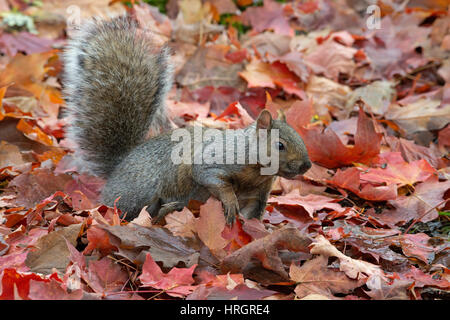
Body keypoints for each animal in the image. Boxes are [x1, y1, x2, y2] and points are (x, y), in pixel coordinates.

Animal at [63, 16, 312, 224]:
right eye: (280, 145)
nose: (307, 165)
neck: (257, 172)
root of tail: (118, 168)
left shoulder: (257, 195)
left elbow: (252, 215)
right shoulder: (215, 160)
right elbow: (211, 177)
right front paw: (230, 201)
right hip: (137, 192)